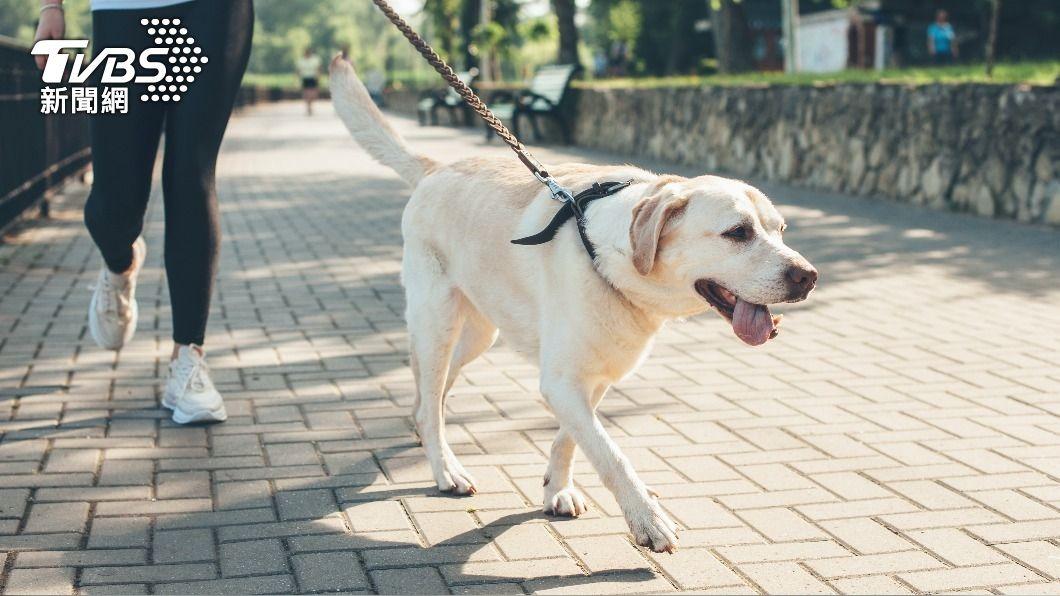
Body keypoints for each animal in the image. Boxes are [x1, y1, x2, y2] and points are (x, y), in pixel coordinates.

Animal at [330, 58, 818, 551]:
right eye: (737, 232)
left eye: (781, 230)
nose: (808, 276)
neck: (609, 255)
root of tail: (436, 168)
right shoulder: (562, 381)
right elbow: (611, 454)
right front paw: (647, 519)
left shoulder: (592, 376)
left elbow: (571, 440)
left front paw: (557, 489)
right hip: (438, 324)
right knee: (431, 400)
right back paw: (445, 466)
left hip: (479, 334)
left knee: (432, 394)